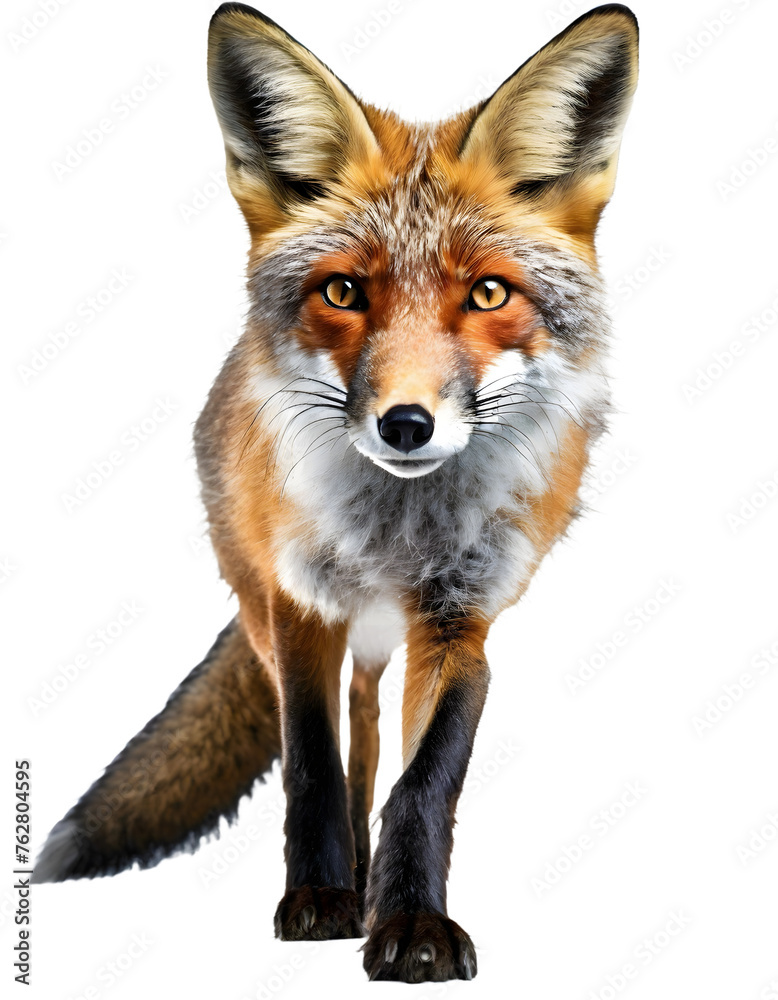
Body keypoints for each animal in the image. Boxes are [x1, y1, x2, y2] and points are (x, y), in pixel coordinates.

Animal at [33, 2, 639, 984]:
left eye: (489, 294)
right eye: (345, 291)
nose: (406, 425)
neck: (397, 536)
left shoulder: (461, 620)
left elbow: (424, 783)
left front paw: (414, 924)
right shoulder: (298, 605)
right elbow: (312, 764)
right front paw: (320, 900)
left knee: (376, 735)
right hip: (265, 608)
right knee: (348, 731)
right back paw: (348, 877)